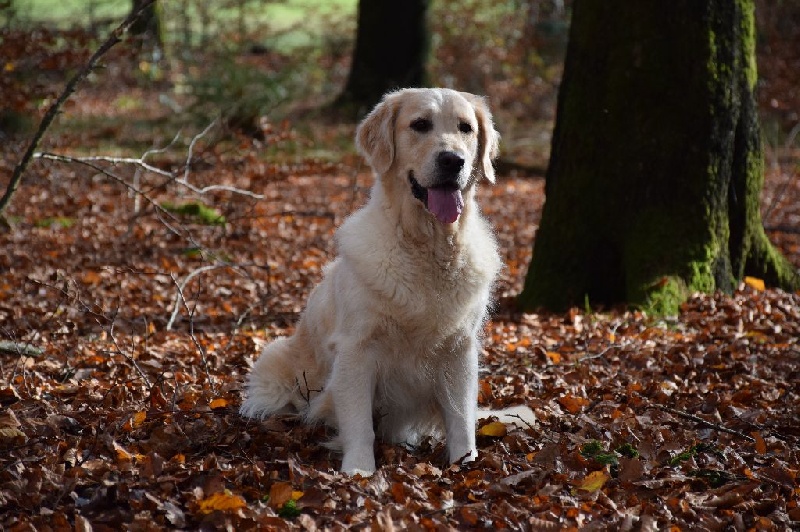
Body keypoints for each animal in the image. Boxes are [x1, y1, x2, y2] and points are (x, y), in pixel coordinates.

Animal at [239, 89, 500, 476]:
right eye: (420, 124)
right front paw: (359, 471)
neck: (428, 247)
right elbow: (359, 422)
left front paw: (465, 464)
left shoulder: (459, 349)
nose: (453, 160)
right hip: (275, 359)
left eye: (465, 128)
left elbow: (460, 418)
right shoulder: (356, 348)